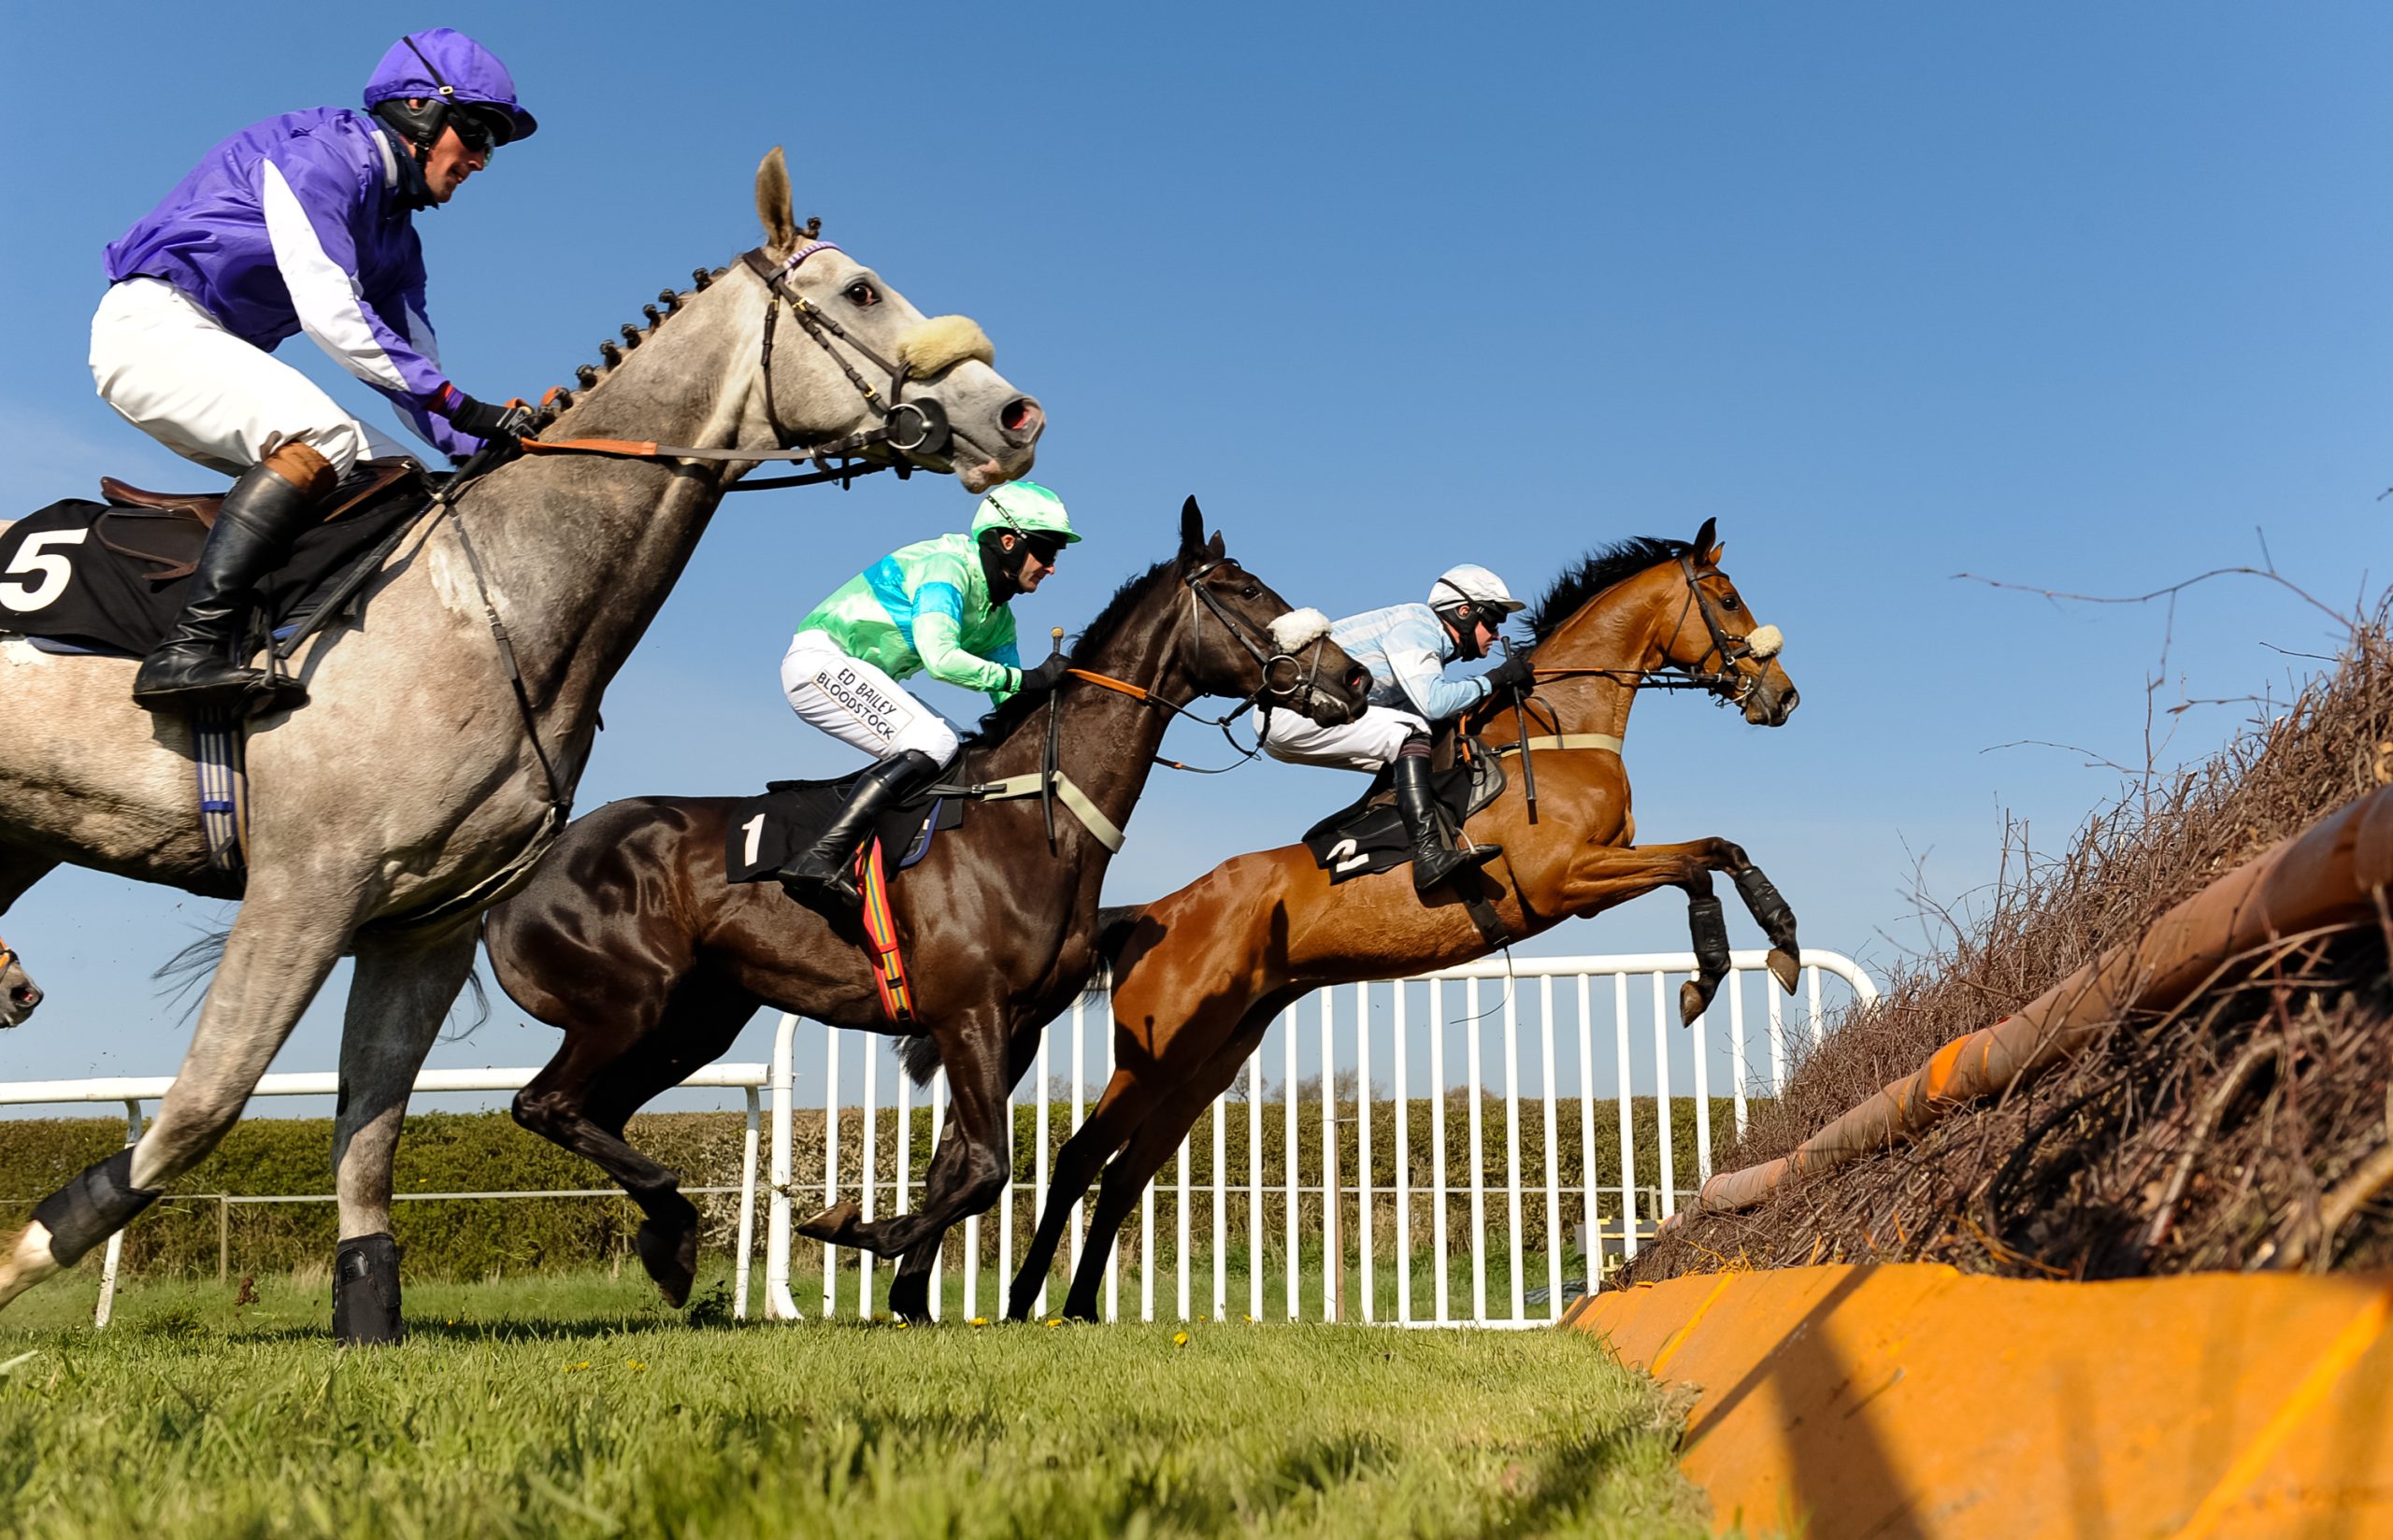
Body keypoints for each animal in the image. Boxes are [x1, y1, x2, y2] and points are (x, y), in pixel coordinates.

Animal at [0, 149, 1046, 1342]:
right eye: (863, 291)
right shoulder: (305, 887)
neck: (493, 592)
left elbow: (369, 1129)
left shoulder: (423, 920)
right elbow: (199, 1109)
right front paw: (26, 1260)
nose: (1016, 414)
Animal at [481, 498, 1370, 1312]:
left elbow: (959, 1167)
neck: (1030, 820)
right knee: (544, 1103)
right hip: (627, 1003)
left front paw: (909, 1296)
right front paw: (855, 1229)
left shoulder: (1011, 1026)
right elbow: (986, 1170)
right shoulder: (968, 1011)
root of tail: (530, 863)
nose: (1354, 678)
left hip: (694, 1023)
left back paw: (669, 1240)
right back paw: (672, 1226)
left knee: (597, 1110)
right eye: (1246, 590)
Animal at [1000, 519, 1804, 1321]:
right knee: (1081, 1157)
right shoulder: (1568, 880)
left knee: (1126, 1173)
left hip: (1211, 1054)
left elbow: (1720, 851)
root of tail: (1147, 916)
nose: (1785, 696)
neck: (1560, 728)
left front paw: (1785, 940)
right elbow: (1695, 869)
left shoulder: (1607, 862)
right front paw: (1704, 980)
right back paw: (1023, 1305)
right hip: (1156, 1053)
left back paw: (1079, 1310)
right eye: (1726, 599)